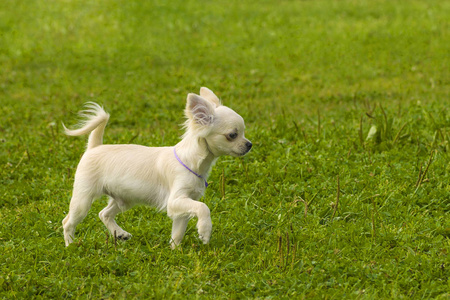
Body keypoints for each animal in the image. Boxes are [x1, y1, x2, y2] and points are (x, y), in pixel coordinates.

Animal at [62, 87, 253, 248]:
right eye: (232, 135)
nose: (249, 144)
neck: (192, 162)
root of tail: (94, 147)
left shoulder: (183, 206)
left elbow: (178, 232)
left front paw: (175, 251)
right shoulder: (175, 200)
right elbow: (203, 207)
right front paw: (205, 231)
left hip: (124, 198)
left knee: (104, 213)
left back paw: (120, 234)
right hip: (83, 199)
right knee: (68, 222)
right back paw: (70, 245)